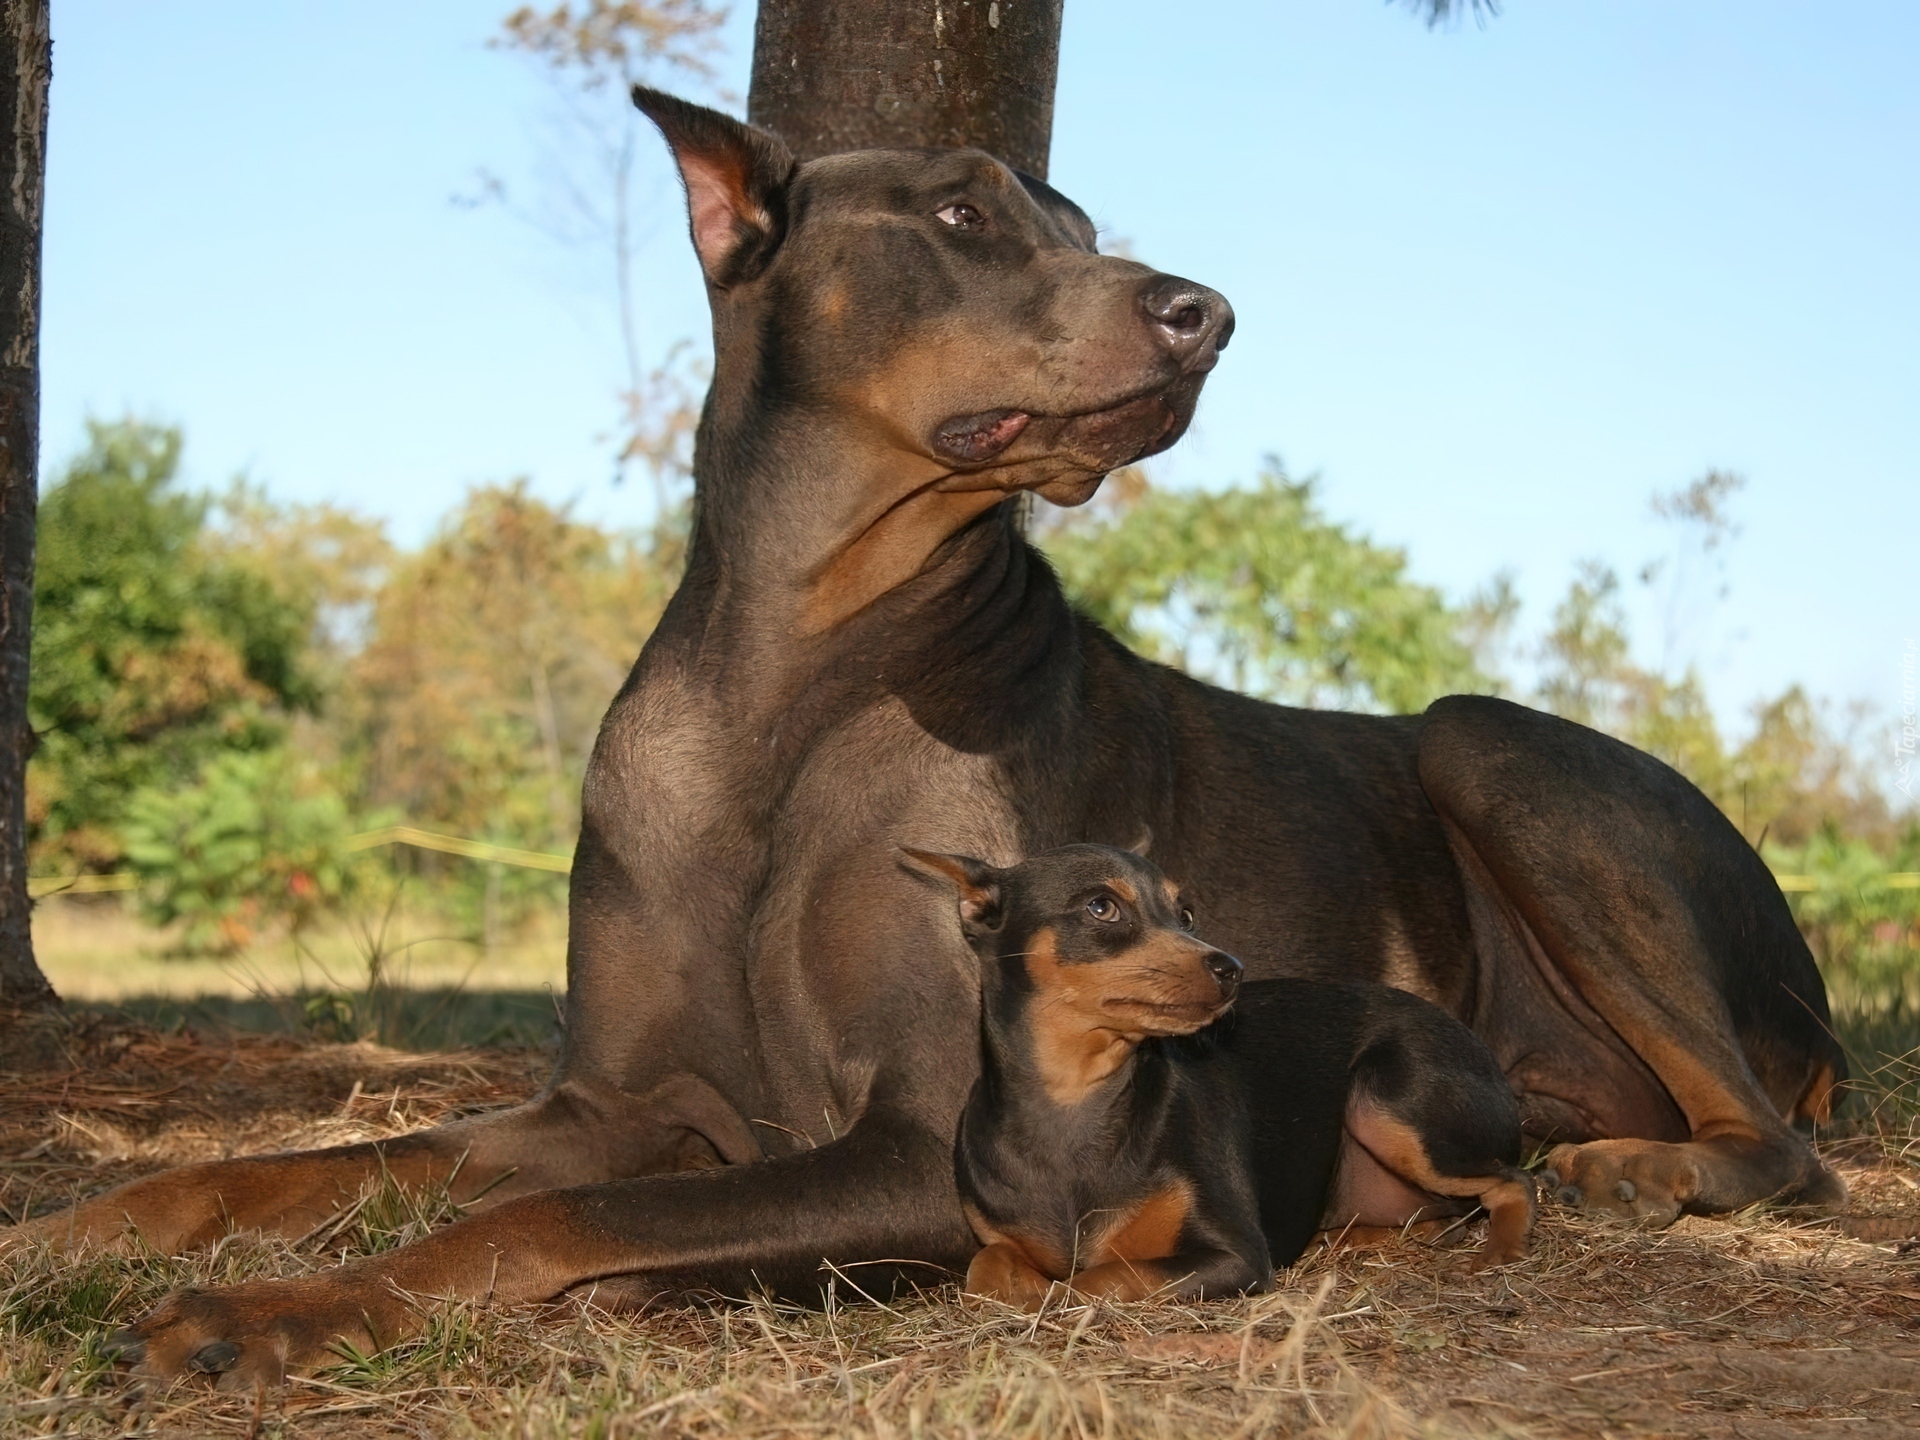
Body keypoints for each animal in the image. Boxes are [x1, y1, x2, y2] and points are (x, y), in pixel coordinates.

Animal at [906, 844, 1536, 1305]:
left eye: (1186, 915)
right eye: (1101, 907)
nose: (1230, 967)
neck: (1075, 1100)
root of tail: (1477, 1046)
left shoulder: (1234, 1257)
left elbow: (1101, 1277)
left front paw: (1050, 1294)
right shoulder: (996, 1243)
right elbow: (983, 1268)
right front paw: (1020, 1287)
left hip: (1387, 1099)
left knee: (1514, 1181)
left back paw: (1500, 1253)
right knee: (1443, 1213)